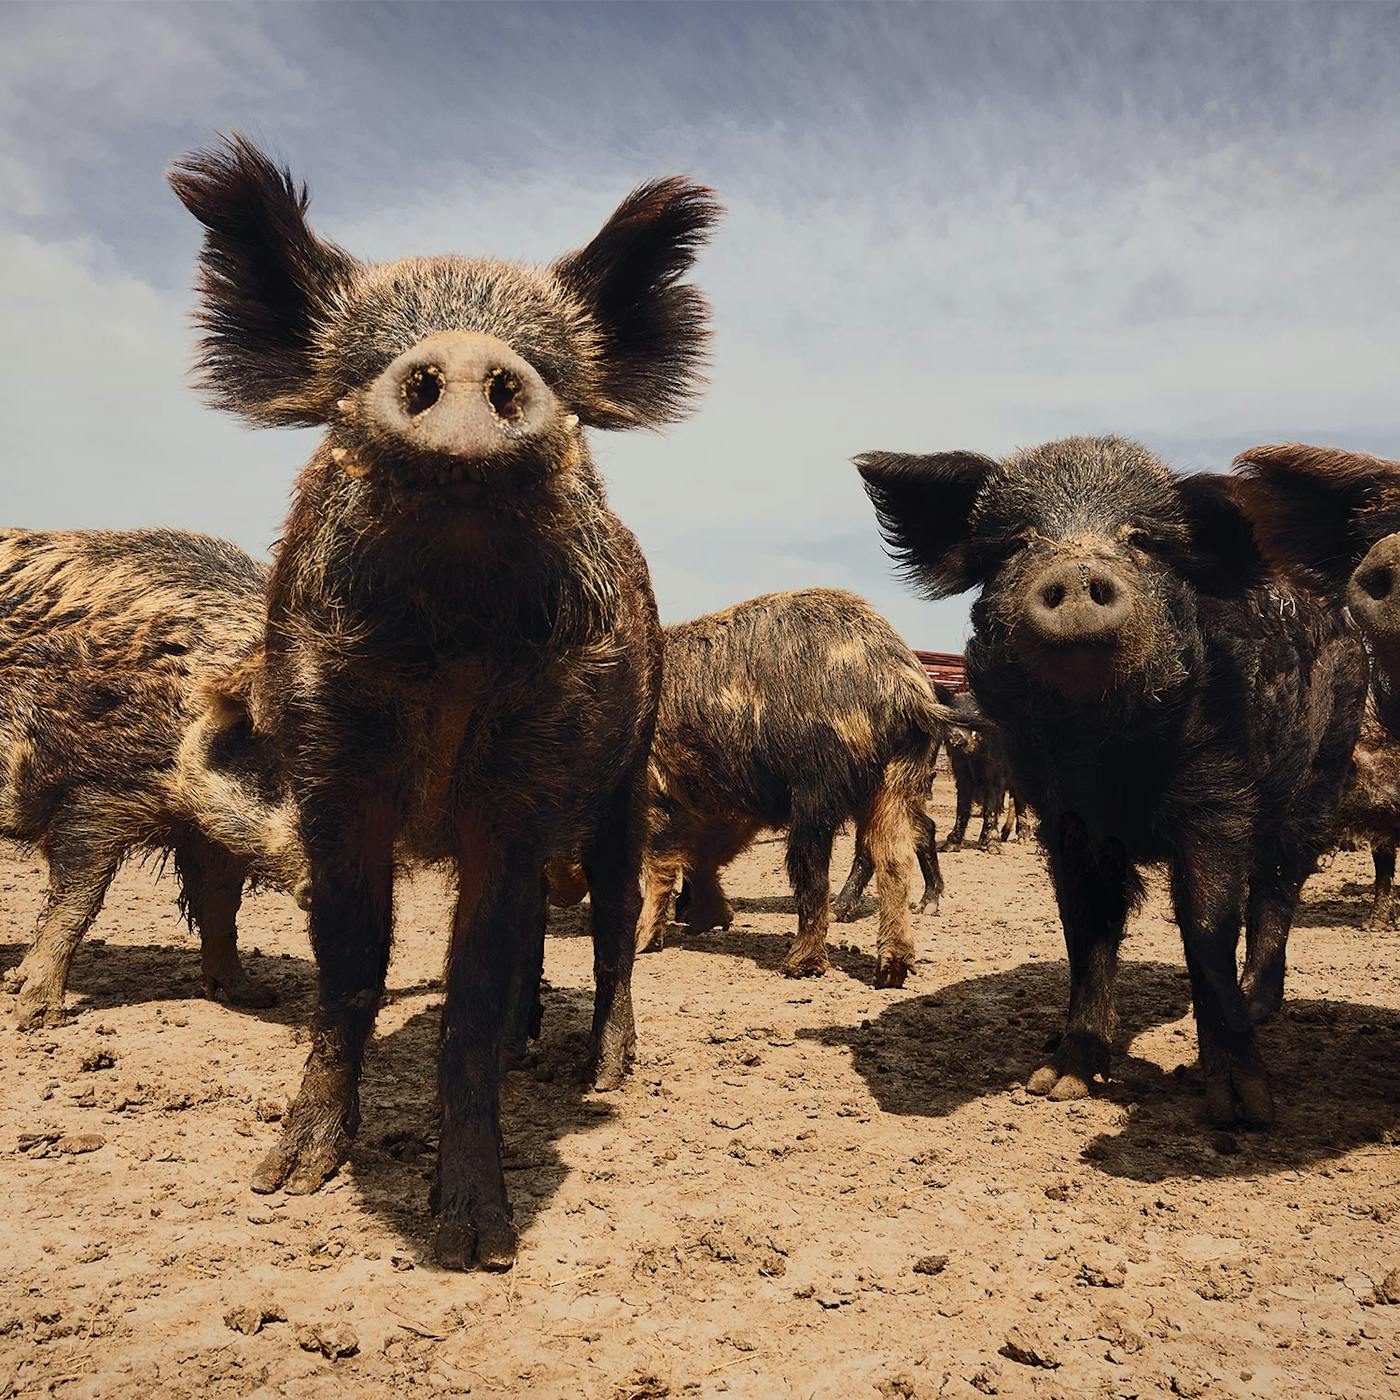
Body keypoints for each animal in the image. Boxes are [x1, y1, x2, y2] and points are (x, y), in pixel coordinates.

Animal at [0, 528, 307, 1027]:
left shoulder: (211, 831)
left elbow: (221, 907)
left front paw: (253, 996)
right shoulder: (93, 794)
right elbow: (76, 904)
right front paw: (35, 1016)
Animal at [169, 135, 720, 1269]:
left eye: (556, 376)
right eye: (350, 379)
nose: (464, 356)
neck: (450, 651)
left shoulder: (529, 778)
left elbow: (466, 989)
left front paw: (475, 1242)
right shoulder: (333, 772)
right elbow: (352, 966)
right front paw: (285, 1180)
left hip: (627, 771)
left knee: (613, 920)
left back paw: (603, 1069)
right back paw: (525, 1051)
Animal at [636, 588, 967, 987]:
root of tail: (903, 687)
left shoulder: (659, 791)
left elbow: (661, 863)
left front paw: (642, 943)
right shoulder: (721, 808)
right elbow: (702, 856)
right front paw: (708, 921)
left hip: (817, 789)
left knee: (814, 872)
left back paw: (798, 966)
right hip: (898, 782)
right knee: (895, 858)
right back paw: (890, 972)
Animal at [858, 436, 1366, 1125]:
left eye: (1142, 540)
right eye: (1019, 541)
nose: (1076, 571)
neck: (1108, 753)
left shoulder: (1219, 800)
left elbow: (1207, 927)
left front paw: (1241, 1108)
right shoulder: (1067, 820)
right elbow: (1086, 931)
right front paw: (1057, 1082)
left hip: (1321, 775)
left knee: (1277, 888)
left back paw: (1260, 1005)